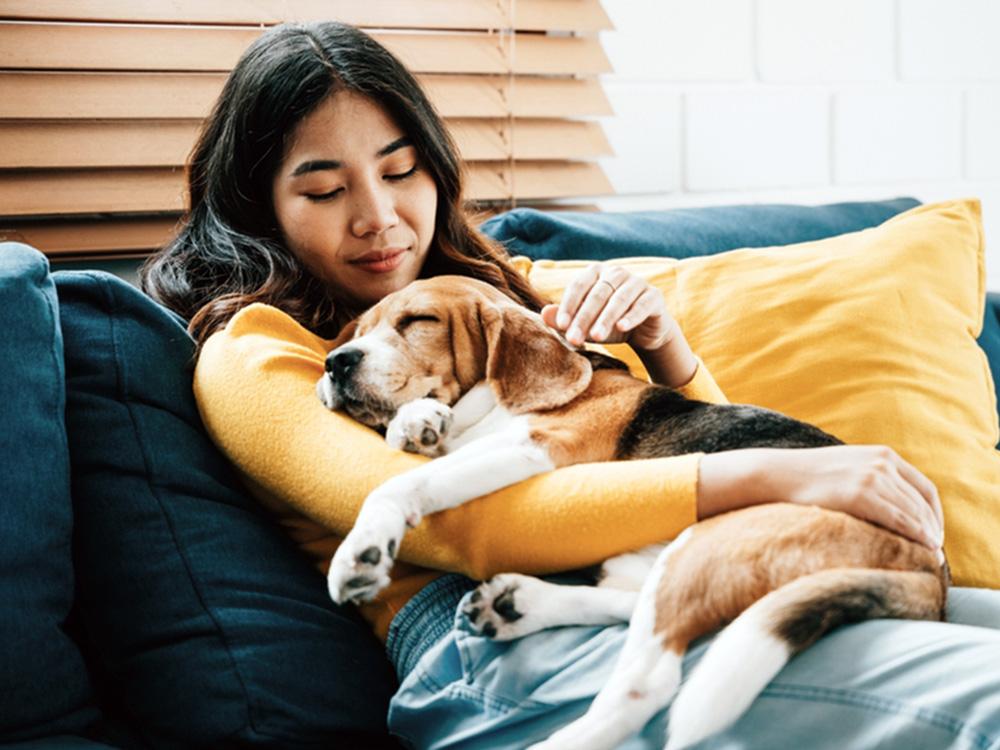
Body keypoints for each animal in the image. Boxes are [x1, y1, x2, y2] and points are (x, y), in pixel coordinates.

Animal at [316, 276, 948, 750]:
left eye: (418, 321)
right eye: (361, 331)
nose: (334, 362)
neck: (491, 403)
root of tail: (933, 572)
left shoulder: (538, 448)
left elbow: (400, 485)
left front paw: (362, 551)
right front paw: (415, 423)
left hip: (713, 543)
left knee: (647, 682)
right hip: (667, 558)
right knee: (633, 607)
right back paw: (521, 605)